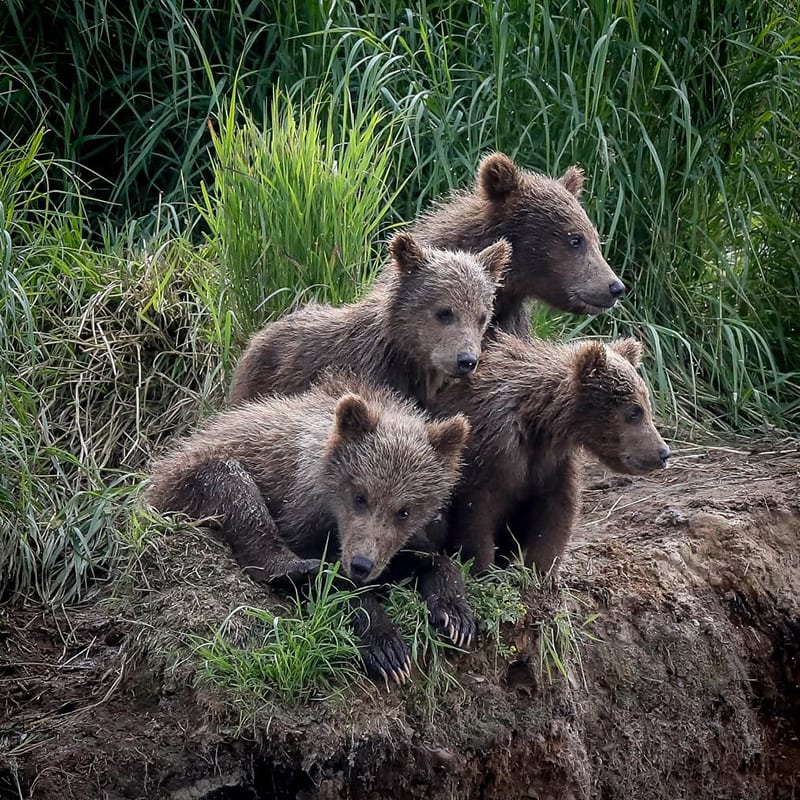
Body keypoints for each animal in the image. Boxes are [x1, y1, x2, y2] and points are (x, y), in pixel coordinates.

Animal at [144, 374, 473, 685]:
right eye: (360, 496)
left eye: (404, 511)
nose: (361, 564)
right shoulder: (300, 510)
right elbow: (335, 584)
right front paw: (387, 649)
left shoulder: (392, 542)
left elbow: (430, 558)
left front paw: (456, 616)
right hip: (187, 480)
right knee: (234, 488)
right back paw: (298, 567)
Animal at [424, 332, 671, 574]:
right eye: (634, 411)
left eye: (647, 407)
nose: (663, 453)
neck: (539, 425)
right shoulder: (489, 453)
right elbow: (476, 514)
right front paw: (482, 567)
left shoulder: (552, 463)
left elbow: (555, 514)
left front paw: (542, 571)